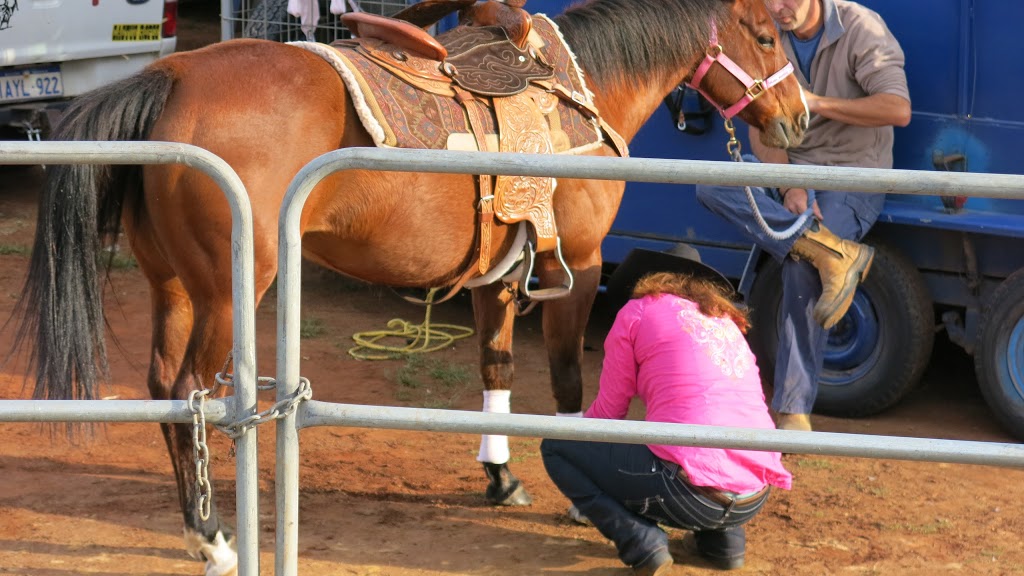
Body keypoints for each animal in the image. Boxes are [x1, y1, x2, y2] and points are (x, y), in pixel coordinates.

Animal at [12, 0, 802, 569]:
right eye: (766, 35)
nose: (798, 119)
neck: (582, 91)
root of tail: (172, 77)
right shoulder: (578, 267)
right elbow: (570, 383)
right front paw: (574, 492)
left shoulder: (496, 279)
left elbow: (496, 371)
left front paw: (500, 477)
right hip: (229, 293)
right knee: (190, 394)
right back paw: (212, 535)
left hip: (172, 286)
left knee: (162, 391)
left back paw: (194, 526)